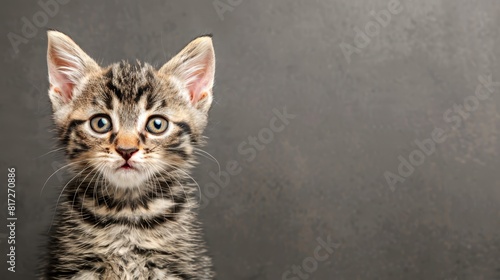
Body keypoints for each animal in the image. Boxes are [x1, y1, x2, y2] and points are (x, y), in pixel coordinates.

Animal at [41, 31, 217, 280]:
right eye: (100, 123)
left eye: (157, 124)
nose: (126, 150)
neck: (127, 210)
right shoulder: (73, 266)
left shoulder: (180, 266)